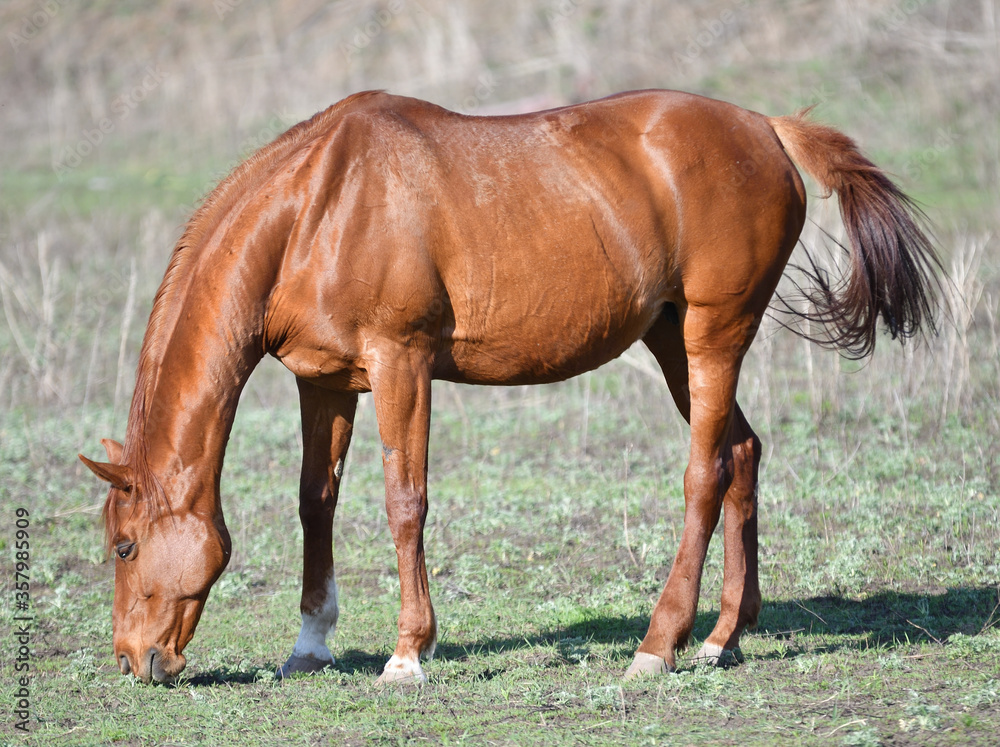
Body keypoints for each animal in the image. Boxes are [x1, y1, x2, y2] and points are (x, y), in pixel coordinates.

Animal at [78, 90, 936, 688]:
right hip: (671, 340)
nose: (132, 659)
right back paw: (724, 634)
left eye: (125, 545)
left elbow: (405, 500)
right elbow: (315, 501)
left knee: (706, 471)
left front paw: (407, 654)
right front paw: (310, 644)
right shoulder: (324, 384)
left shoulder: (401, 362)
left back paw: (659, 643)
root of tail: (768, 127)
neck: (318, 206)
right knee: (745, 452)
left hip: (713, 334)